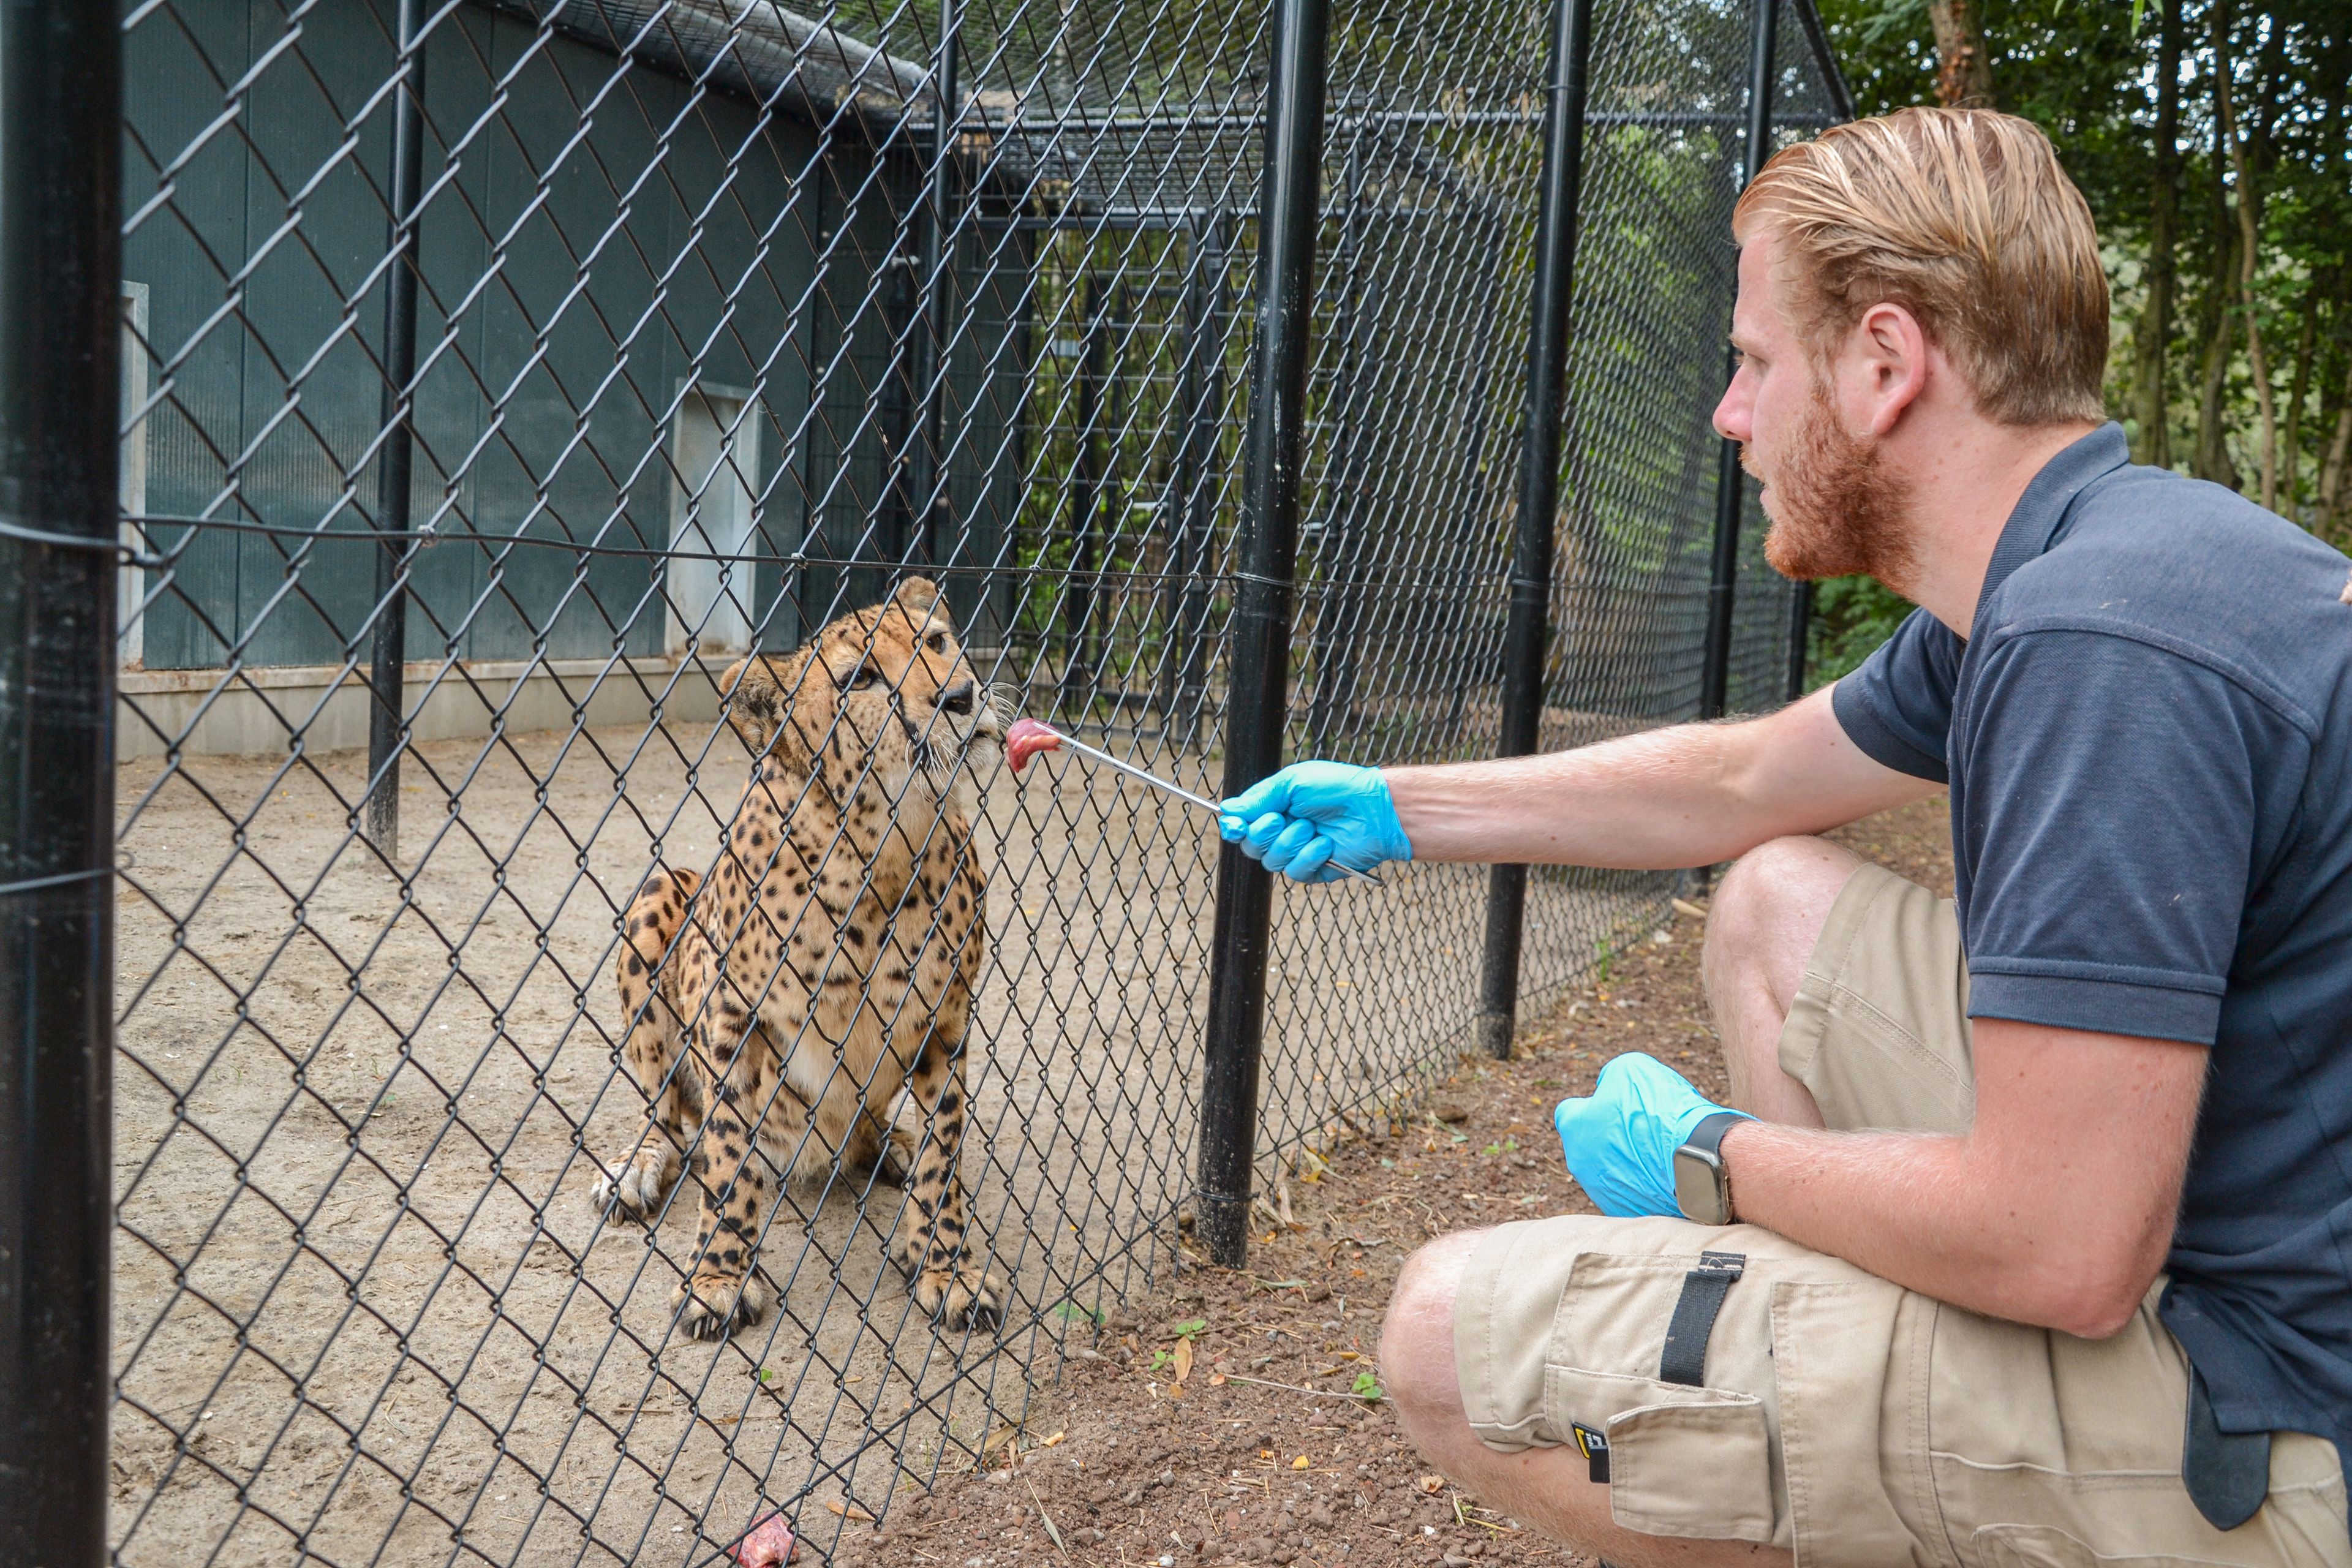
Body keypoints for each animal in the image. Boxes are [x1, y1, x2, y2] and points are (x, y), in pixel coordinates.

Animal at [595, 577, 1009, 1340]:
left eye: (937, 641)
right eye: (862, 679)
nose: (963, 697)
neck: (885, 847)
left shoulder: (944, 1021)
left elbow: (944, 1153)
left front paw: (947, 1267)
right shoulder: (733, 1021)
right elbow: (726, 1155)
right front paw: (717, 1280)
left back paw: (886, 1144)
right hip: (661, 893)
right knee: (667, 1113)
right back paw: (634, 1168)